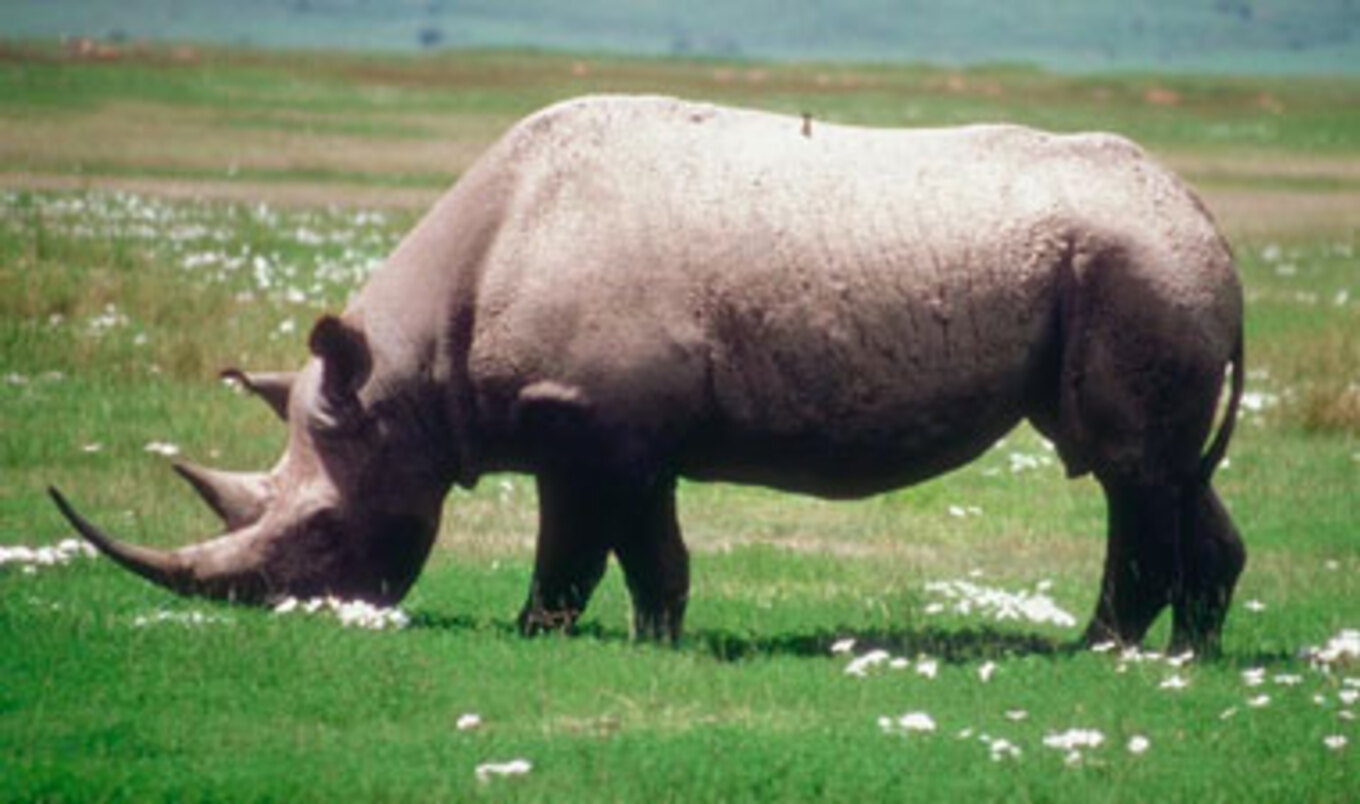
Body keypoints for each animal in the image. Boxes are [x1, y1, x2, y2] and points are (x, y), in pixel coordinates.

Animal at [51, 95, 1246, 653]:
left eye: (321, 531)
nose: (303, 613)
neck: (405, 380)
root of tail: (1210, 224)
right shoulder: (601, 426)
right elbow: (642, 551)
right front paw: (654, 640)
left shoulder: (596, 420)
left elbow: (584, 549)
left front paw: (541, 638)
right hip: (1148, 264)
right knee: (1171, 469)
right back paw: (1186, 655)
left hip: (1135, 266)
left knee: (1126, 467)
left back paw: (1094, 653)